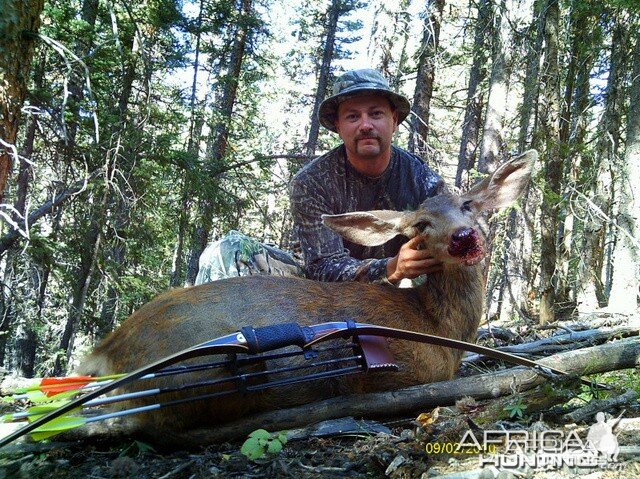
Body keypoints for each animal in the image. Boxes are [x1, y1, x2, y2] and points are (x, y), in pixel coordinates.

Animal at [79, 150, 536, 442]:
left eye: (468, 204)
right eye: (420, 224)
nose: (464, 236)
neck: (439, 325)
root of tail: (104, 352)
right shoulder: (414, 371)